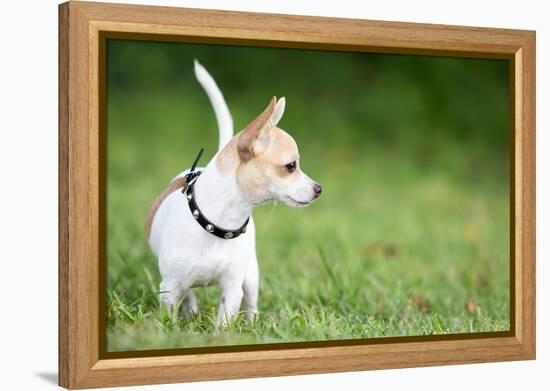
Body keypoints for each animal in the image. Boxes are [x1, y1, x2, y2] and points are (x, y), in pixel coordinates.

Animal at [146, 60, 324, 324]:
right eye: (291, 166)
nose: (318, 189)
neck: (216, 224)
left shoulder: (232, 290)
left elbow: (224, 322)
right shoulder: (170, 288)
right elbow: (169, 317)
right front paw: (170, 330)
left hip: (251, 275)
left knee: (251, 303)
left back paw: (252, 324)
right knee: (189, 294)